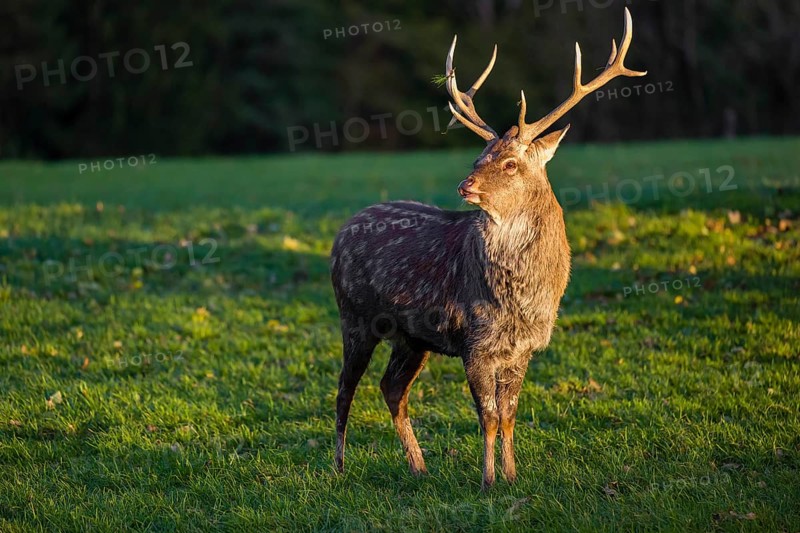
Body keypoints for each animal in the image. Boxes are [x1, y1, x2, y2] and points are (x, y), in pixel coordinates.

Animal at [330, 9, 646, 489]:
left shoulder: (523, 348)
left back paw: (419, 467)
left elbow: (511, 415)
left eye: (510, 163)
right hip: (355, 316)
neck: (522, 300)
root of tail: (340, 232)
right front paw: (488, 480)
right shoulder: (474, 341)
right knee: (344, 389)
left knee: (391, 388)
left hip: (412, 336)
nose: (466, 185)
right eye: (478, 156)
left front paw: (513, 476)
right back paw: (339, 467)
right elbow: (489, 416)